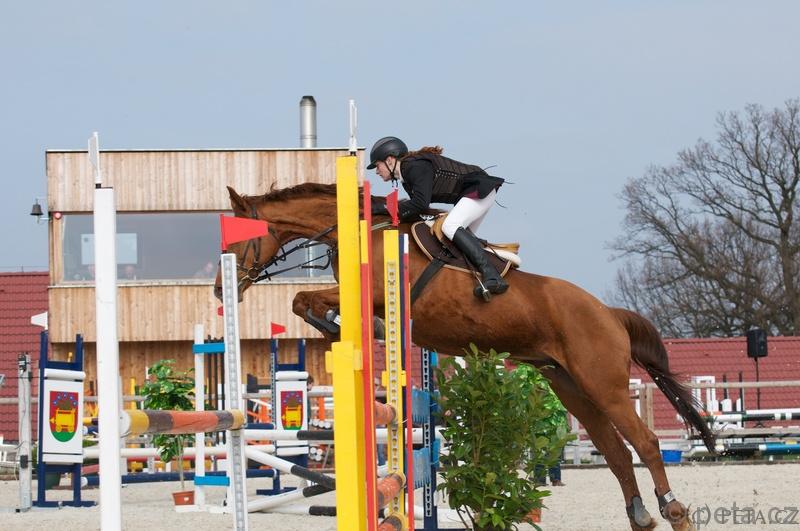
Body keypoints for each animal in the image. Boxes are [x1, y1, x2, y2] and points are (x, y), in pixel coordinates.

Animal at [215, 182, 715, 531]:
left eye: (236, 241)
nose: (221, 291)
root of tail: (607, 311)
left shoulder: (375, 294)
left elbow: (305, 299)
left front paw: (349, 328)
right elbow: (303, 302)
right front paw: (341, 329)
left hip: (603, 383)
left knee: (644, 443)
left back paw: (673, 510)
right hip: (570, 385)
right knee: (614, 452)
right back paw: (640, 515)